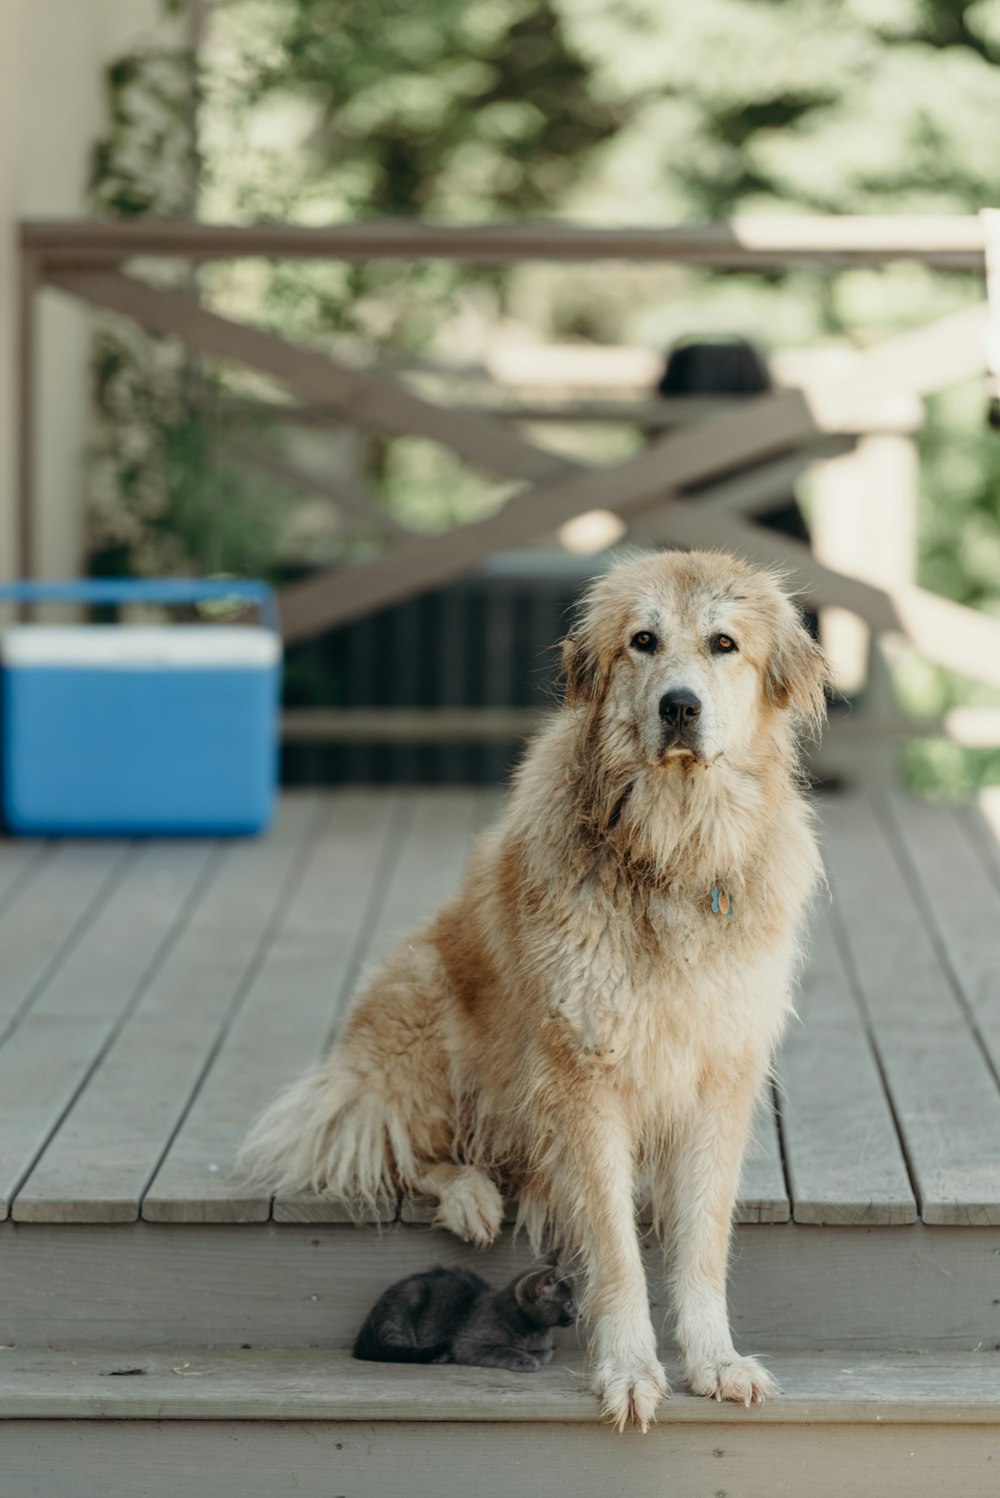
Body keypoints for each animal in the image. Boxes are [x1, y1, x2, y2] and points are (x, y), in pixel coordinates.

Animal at [351, 1258, 574, 1372]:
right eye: (569, 1304)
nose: (579, 1314)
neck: (532, 1331)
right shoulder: (467, 1344)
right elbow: (502, 1349)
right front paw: (525, 1360)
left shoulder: (545, 1346)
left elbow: (546, 1352)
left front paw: (534, 1356)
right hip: (409, 1298)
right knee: (393, 1350)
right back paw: (436, 1356)